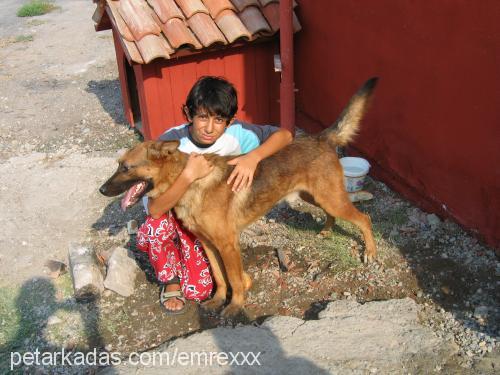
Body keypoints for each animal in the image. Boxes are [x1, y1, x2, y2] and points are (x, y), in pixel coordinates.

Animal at [99, 78, 376, 318]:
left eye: (126, 168)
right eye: (118, 165)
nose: (101, 190)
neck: (189, 181)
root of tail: (321, 137)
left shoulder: (228, 245)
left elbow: (232, 277)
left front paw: (235, 306)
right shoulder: (209, 245)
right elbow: (219, 277)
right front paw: (219, 300)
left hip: (331, 198)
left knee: (364, 218)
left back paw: (371, 252)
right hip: (317, 197)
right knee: (333, 214)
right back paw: (328, 230)